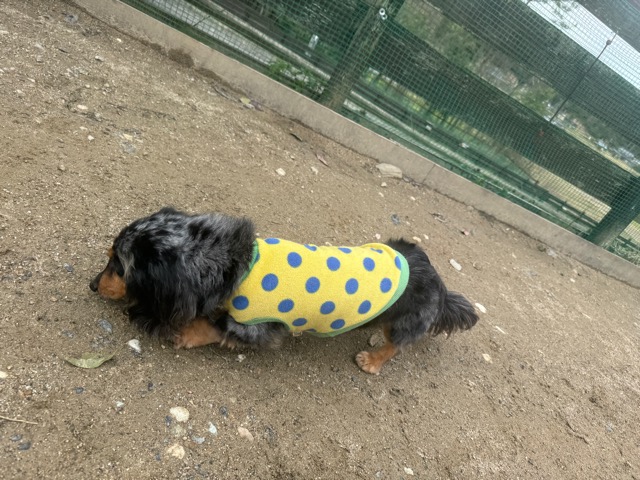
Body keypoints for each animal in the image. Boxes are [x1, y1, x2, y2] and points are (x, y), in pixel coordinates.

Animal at [90, 207, 478, 374]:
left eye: (119, 266)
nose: (92, 285)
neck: (235, 265)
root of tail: (440, 283)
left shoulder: (257, 326)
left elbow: (215, 325)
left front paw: (186, 333)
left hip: (406, 321)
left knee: (398, 344)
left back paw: (373, 359)